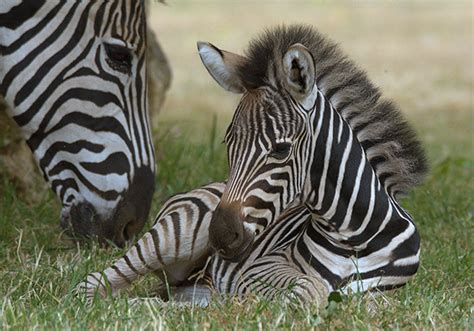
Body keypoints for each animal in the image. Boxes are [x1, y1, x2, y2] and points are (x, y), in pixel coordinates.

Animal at [77, 24, 426, 308]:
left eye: (281, 149)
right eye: (228, 145)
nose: (219, 237)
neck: (355, 236)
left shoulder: (387, 293)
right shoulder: (261, 267)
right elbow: (308, 289)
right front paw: (255, 305)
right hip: (172, 235)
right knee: (92, 286)